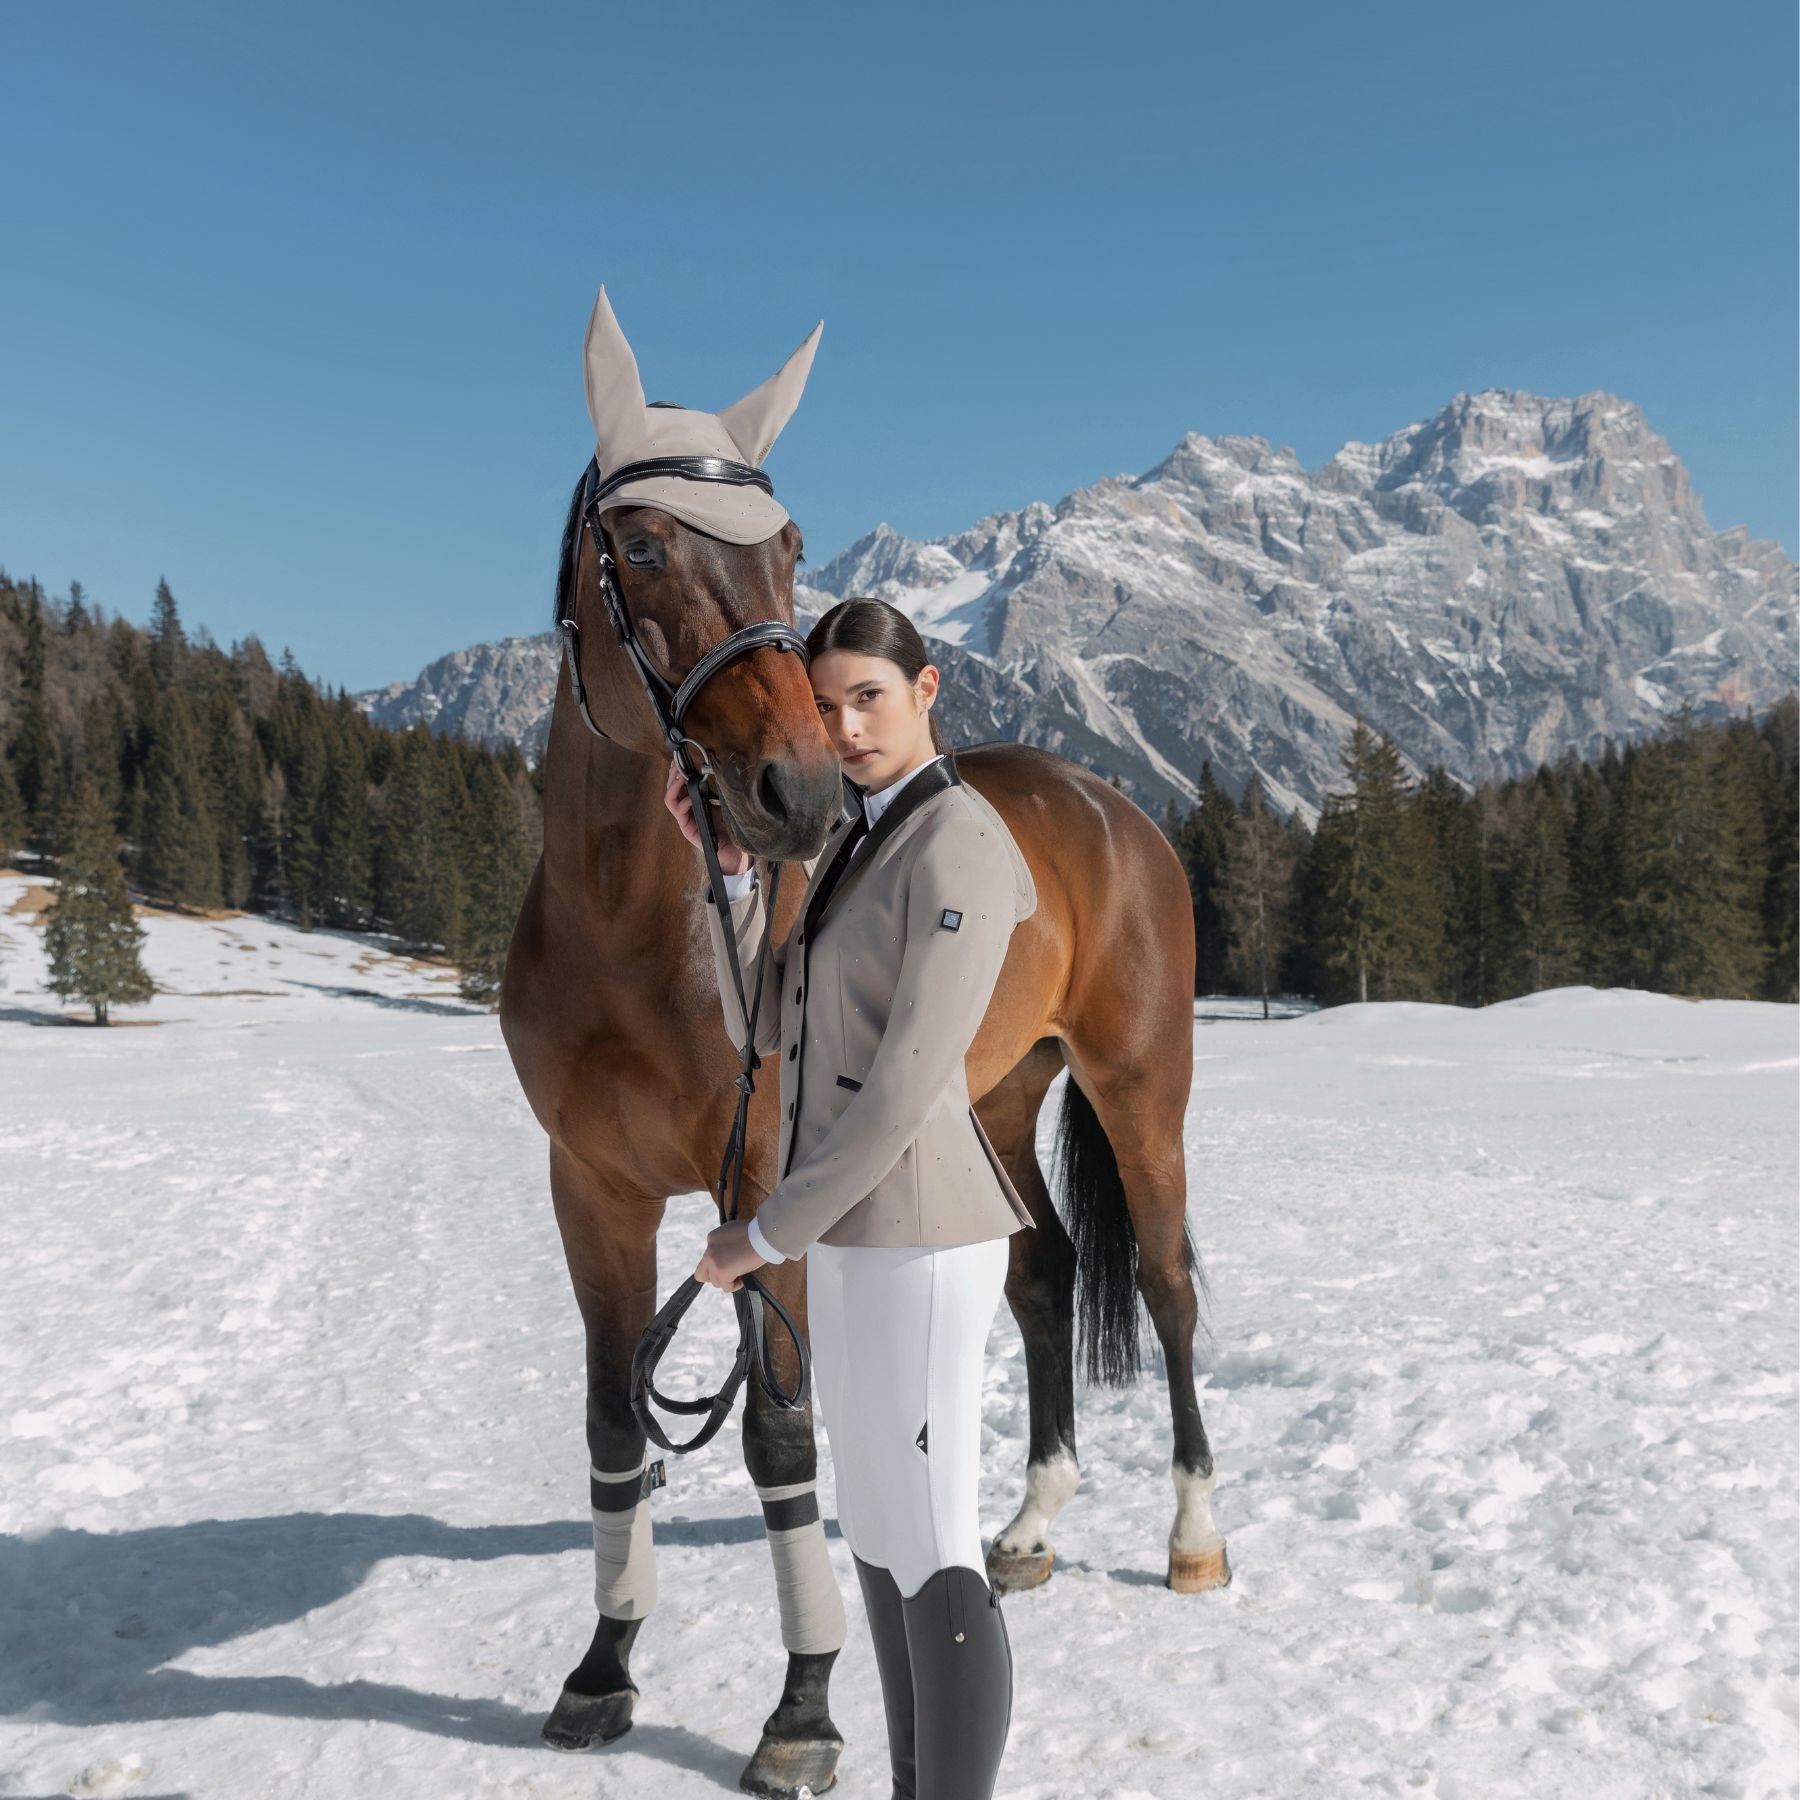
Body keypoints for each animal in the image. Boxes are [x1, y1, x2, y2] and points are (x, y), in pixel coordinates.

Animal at [499, 470, 1229, 1797]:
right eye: (643, 546)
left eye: (789, 550)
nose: (794, 792)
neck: (634, 931)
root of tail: (1114, 810)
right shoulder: (589, 1190)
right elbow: (613, 1421)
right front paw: (602, 1668)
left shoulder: (765, 1189)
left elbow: (780, 1435)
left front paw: (801, 1711)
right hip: (994, 1102)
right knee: (1042, 1275)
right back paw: (1028, 1527)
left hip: (1141, 1085)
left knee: (1165, 1284)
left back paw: (1194, 1536)